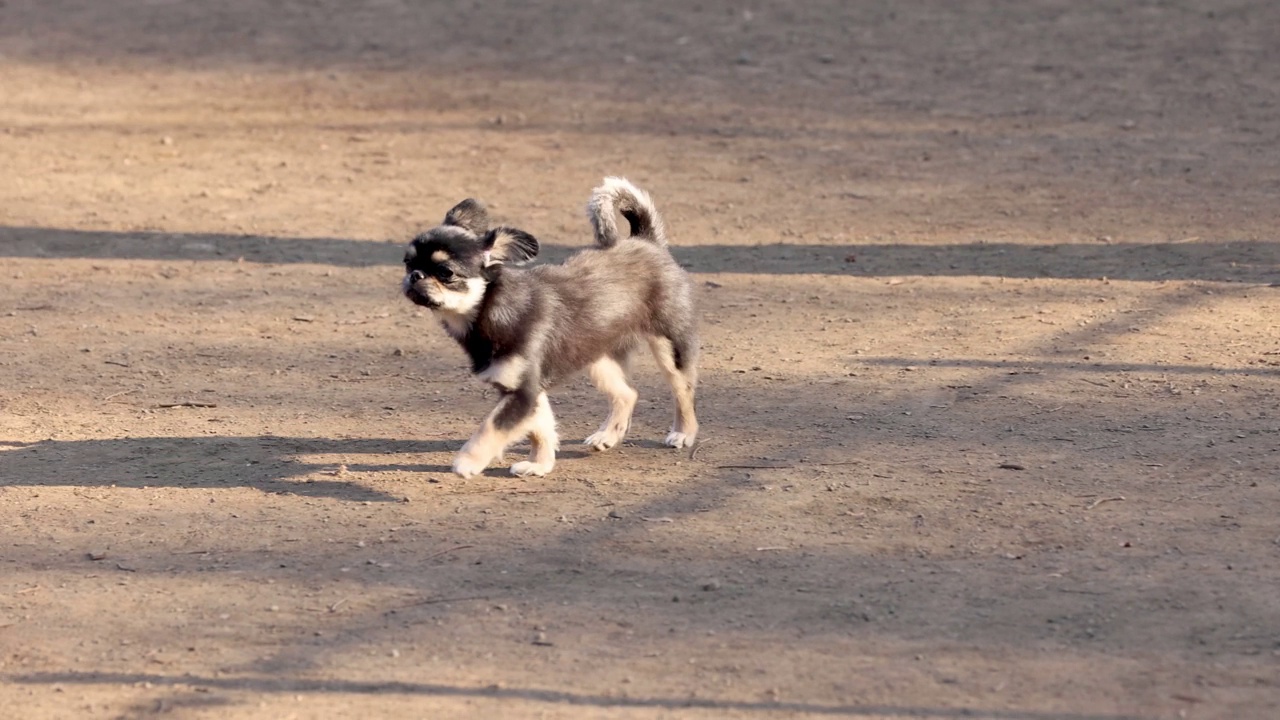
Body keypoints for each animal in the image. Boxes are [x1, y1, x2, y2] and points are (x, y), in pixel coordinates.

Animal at [401, 175, 701, 476]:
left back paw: (683, 433)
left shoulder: (523, 393)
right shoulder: (528, 390)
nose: (415, 275)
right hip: (597, 358)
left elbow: (491, 428)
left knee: (683, 391)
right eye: (407, 263)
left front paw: (468, 461)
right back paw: (607, 436)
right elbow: (541, 429)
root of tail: (646, 240)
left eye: (445, 272)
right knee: (628, 393)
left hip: (669, 346)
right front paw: (540, 465)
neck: (490, 308)